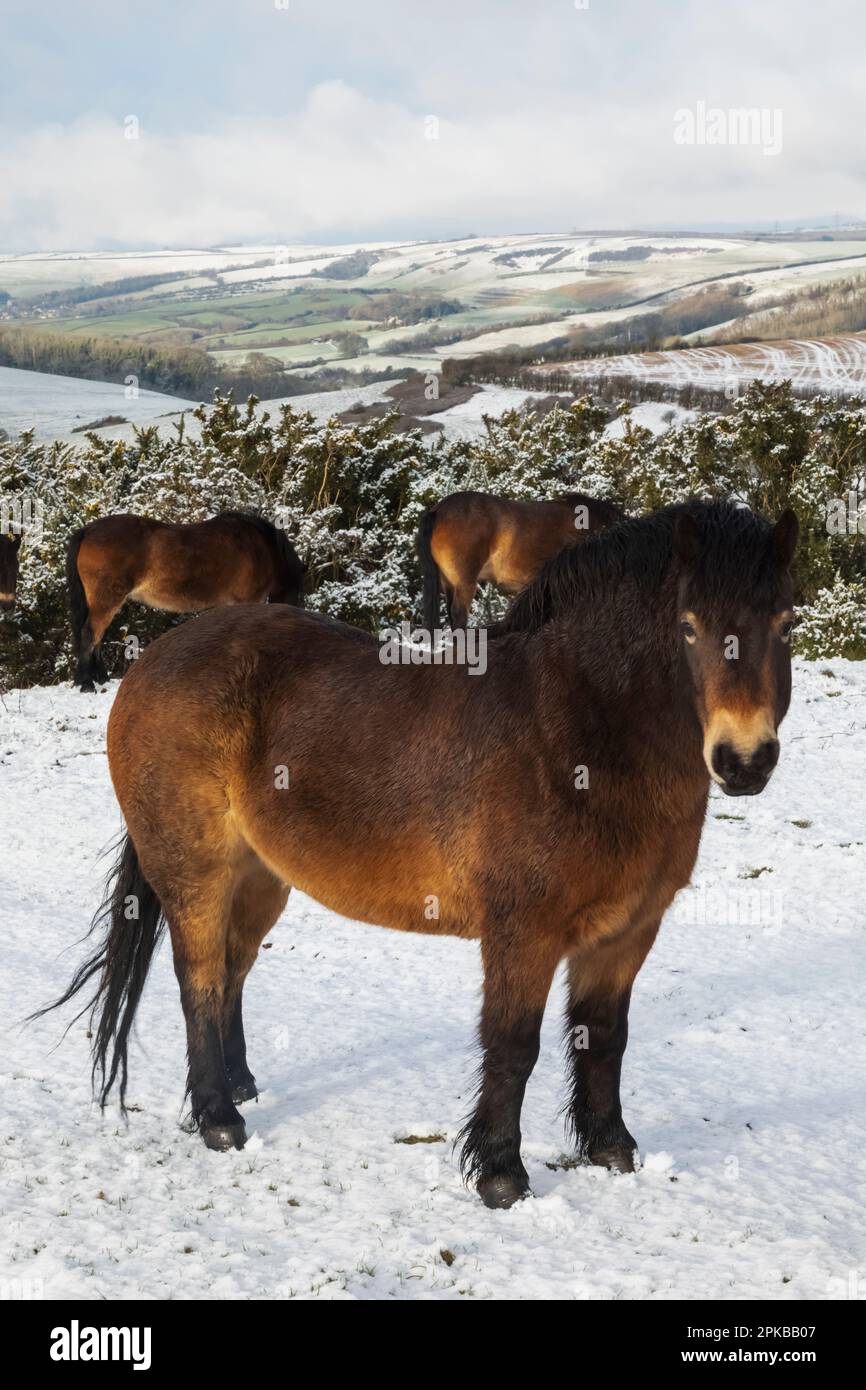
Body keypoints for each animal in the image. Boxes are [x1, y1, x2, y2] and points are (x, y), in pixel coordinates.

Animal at [67, 511, 304, 689]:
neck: (259, 548)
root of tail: (88, 530)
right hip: (106, 599)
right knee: (90, 633)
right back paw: (86, 682)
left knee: (97, 636)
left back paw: (100, 677)